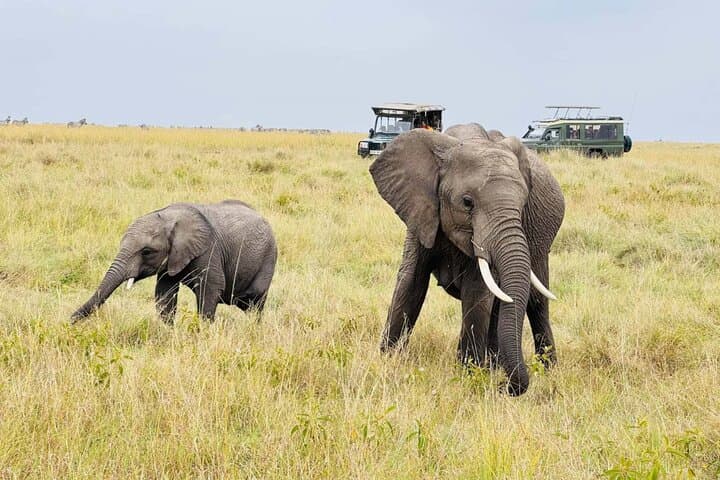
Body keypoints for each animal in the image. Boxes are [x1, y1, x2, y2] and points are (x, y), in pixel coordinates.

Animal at [71, 200, 277, 323]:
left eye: (146, 251)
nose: (70, 319)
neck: (169, 218)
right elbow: (164, 294)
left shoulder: (208, 250)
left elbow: (210, 290)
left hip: (269, 256)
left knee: (255, 301)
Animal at [369, 125, 564, 395]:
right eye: (467, 202)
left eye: (524, 203)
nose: (504, 387)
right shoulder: (421, 212)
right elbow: (410, 284)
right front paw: (388, 362)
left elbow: (477, 293)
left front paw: (468, 377)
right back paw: (495, 366)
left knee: (535, 302)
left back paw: (545, 370)